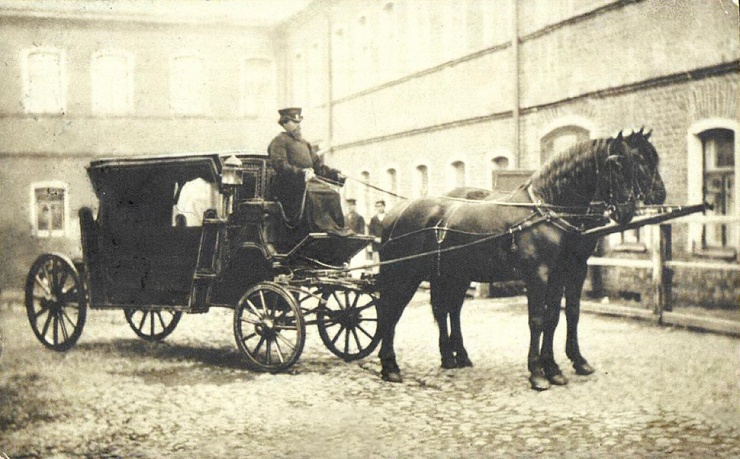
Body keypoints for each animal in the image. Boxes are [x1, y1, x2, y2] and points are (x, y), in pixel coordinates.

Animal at [376, 129, 666, 390]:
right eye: (620, 163)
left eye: (651, 159)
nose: (657, 196)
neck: (547, 210)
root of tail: (394, 215)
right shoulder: (537, 275)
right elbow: (537, 319)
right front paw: (537, 373)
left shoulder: (566, 271)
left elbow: (560, 315)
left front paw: (560, 367)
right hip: (404, 275)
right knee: (391, 311)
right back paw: (390, 366)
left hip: (452, 275)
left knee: (447, 310)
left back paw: (452, 358)